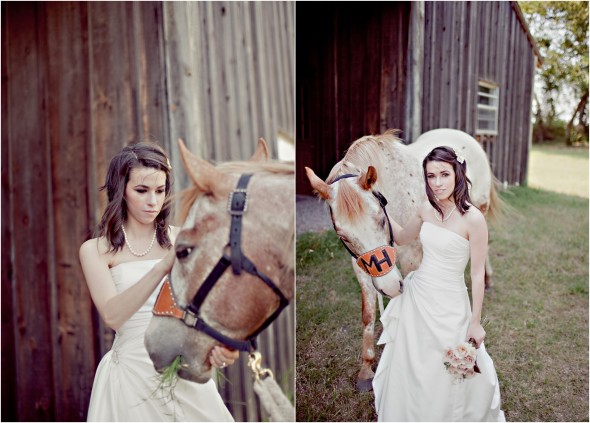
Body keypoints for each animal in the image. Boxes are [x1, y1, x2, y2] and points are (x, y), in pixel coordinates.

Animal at [306, 127, 504, 392]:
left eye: (381, 218)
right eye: (343, 235)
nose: (389, 286)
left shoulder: (410, 259)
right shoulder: (360, 266)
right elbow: (368, 314)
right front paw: (366, 368)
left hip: (479, 210)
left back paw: (487, 278)